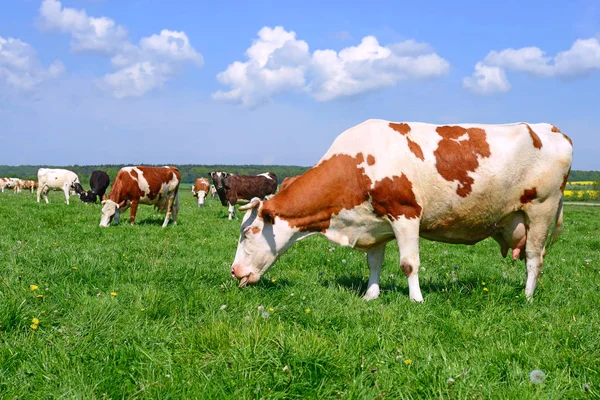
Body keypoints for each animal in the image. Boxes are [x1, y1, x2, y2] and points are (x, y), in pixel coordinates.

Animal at [229, 119, 572, 304]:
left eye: (249, 232)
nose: (233, 271)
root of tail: (552, 129)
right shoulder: (373, 223)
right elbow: (374, 263)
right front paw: (370, 295)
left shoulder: (406, 214)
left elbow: (409, 264)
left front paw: (416, 299)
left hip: (541, 209)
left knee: (534, 259)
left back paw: (527, 297)